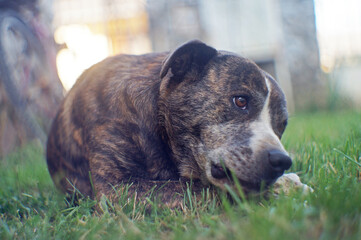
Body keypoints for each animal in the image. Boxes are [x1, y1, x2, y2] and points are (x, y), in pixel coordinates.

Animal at [45, 39, 292, 204]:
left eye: (281, 125)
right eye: (240, 100)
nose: (281, 161)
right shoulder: (119, 189)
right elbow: (203, 190)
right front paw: (283, 187)